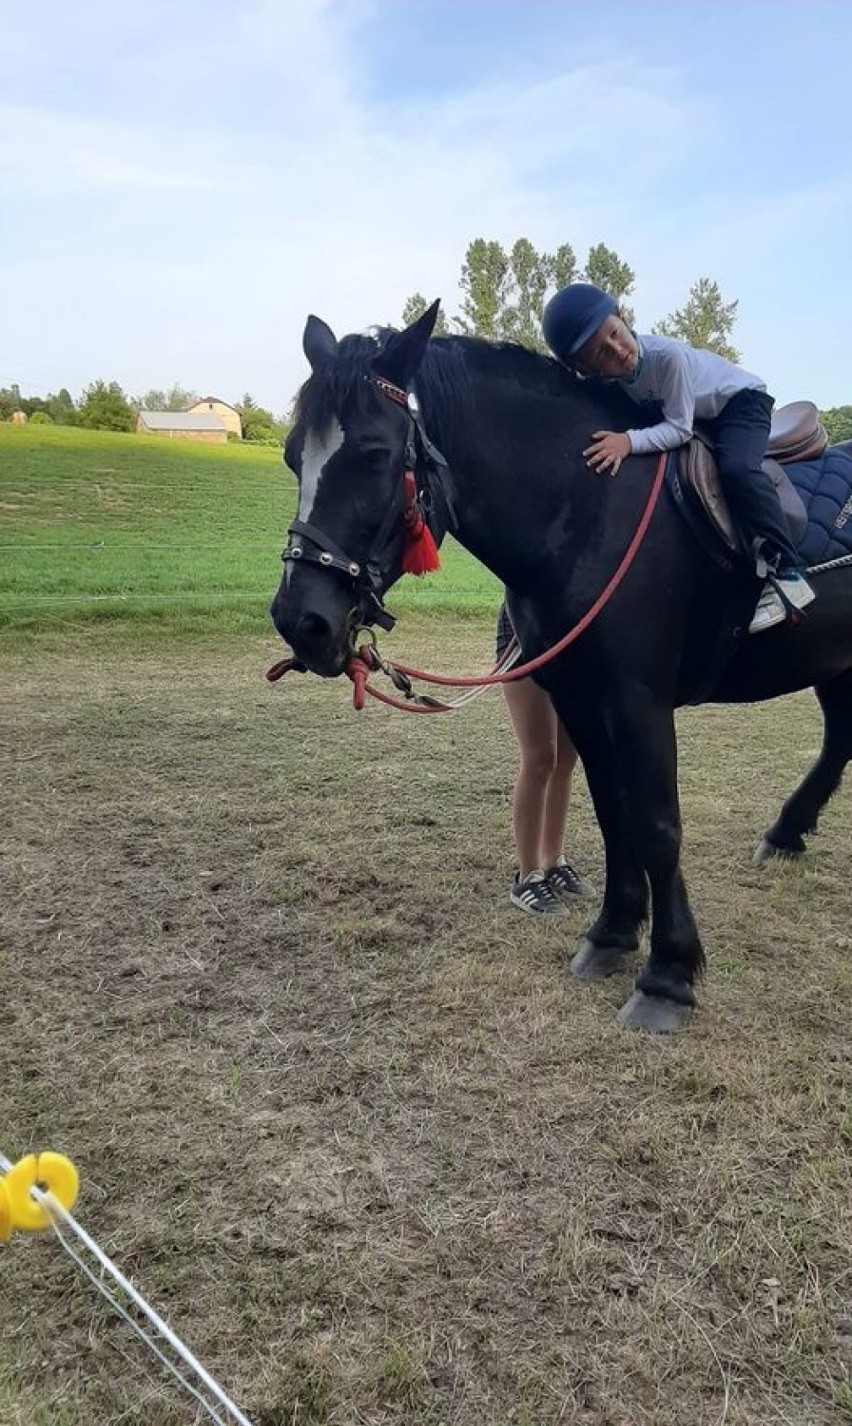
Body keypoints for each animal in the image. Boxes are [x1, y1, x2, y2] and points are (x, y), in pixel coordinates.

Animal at [271, 306, 850, 1032]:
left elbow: (658, 825)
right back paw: (786, 833)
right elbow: (612, 814)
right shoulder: (580, 698)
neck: (592, 511)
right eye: (294, 456)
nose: (301, 622)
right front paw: (612, 934)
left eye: (375, 454)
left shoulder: (637, 701)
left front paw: (668, 974)